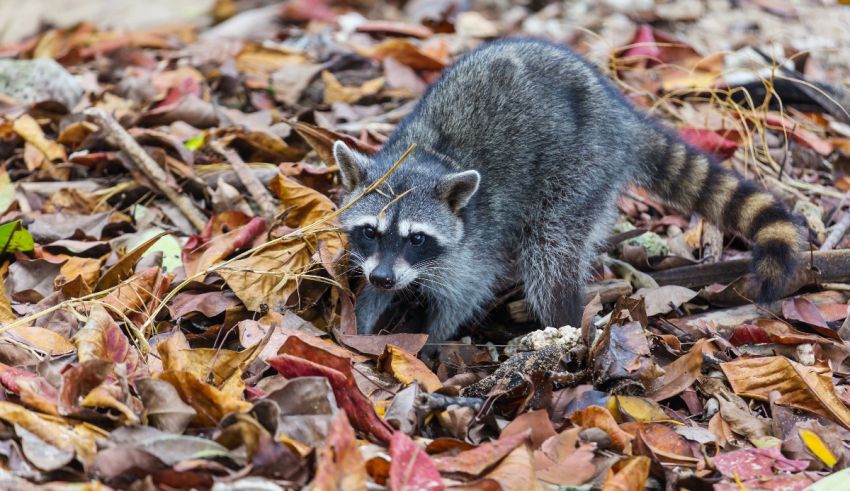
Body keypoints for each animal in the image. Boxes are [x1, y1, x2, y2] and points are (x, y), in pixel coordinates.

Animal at [334, 38, 802, 346]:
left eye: (417, 238)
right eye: (370, 232)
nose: (383, 276)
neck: (426, 160)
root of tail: (621, 116)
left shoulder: (474, 242)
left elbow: (465, 292)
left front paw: (430, 340)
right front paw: (363, 320)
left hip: (582, 171)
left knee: (550, 255)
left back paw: (566, 324)